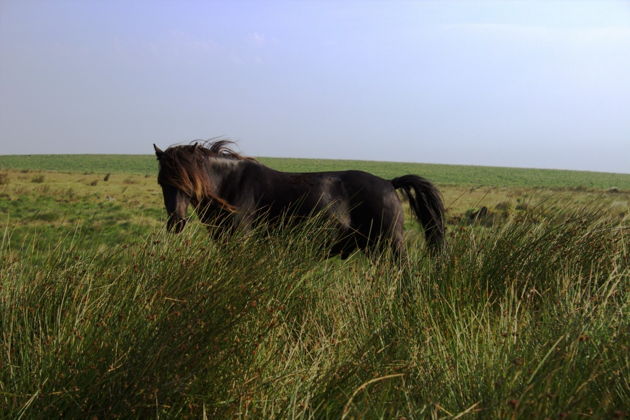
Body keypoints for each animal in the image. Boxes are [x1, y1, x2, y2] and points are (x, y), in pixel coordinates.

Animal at [155, 141, 446, 258]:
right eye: (162, 183)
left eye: (188, 184)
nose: (176, 223)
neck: (231, 185)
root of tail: (388, 183)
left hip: (391, 245)